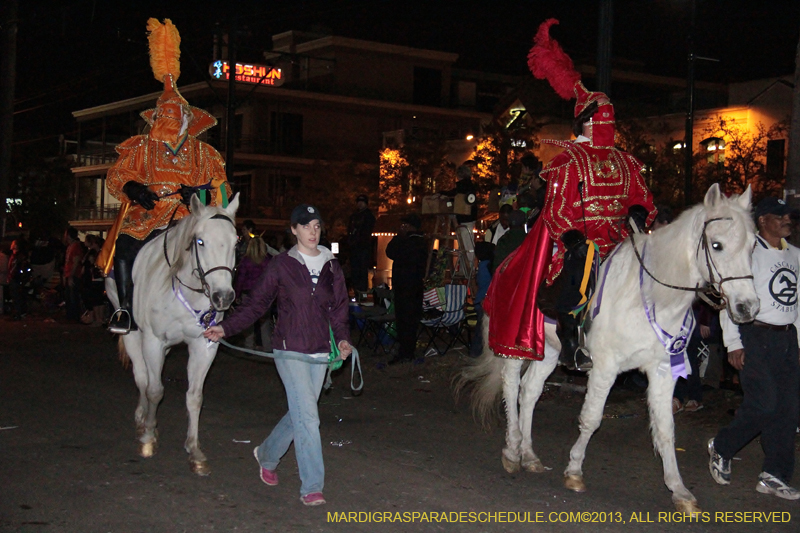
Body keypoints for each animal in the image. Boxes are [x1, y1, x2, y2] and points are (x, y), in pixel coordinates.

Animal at [108, 194, 241, 474]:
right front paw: (149, 437)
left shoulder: (205, 345)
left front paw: (194, 450)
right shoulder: (153, 341)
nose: (223, 297)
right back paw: (142, 421)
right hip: (132, 333)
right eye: (200, 241)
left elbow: (195, 397)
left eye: (236, 242)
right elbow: (155, 389)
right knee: (142, 378)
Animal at [462, 183, 756, 512]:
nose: (747, 308)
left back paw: (529, 455)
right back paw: (512, 451)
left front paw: (680, 491)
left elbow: (665, 429)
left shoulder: (663, 370)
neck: (649, 296)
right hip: (516, 344)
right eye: (716, 245)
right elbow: (591, 418)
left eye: (752, 247)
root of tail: (505, 264)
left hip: (548, 350)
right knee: (511, 386)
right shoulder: (605, 367)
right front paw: (574, 471)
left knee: (530, 392)